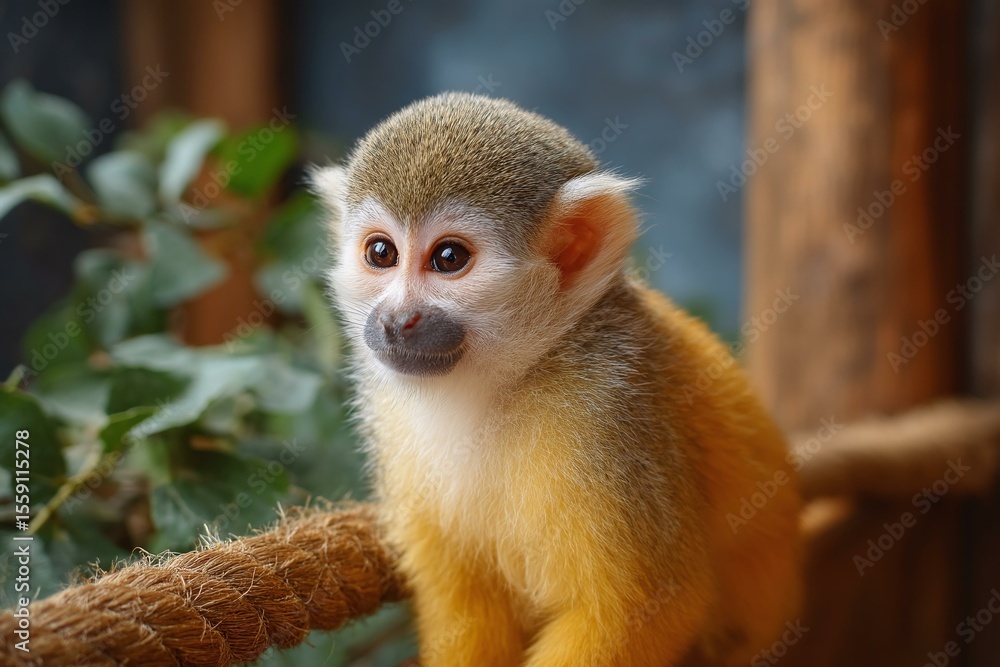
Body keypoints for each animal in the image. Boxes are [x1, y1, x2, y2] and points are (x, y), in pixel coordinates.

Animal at [312, 92, 800, 667]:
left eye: (449, 258)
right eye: (381, 253)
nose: (395, 320)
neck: (507, 379)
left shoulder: (605, 411)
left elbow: (646, 603)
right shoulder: (392, 415)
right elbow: (466, 604)